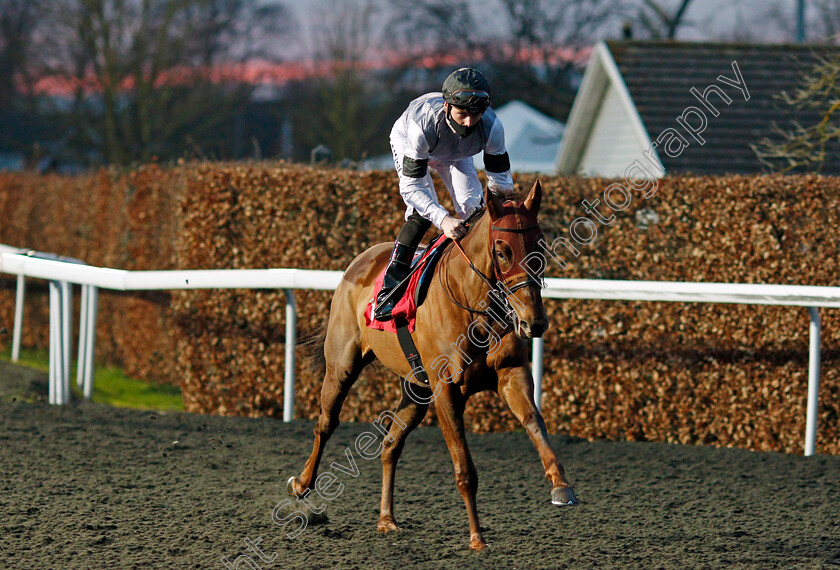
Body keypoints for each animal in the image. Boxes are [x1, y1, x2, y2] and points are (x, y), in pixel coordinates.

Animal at [288, 180, 576, 548]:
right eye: (502, 252)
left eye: (540, 245)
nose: (534, 322)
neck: (473, 305)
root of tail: (361, 260)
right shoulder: (447, 390)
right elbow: (464, 468)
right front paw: (477, 537)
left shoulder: (511, 373)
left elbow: (534, 422)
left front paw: (560, 485)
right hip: (342, 367)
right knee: (325, 424)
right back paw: (302, 485)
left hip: (416, 389)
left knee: (390, 444)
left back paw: (386, 519)